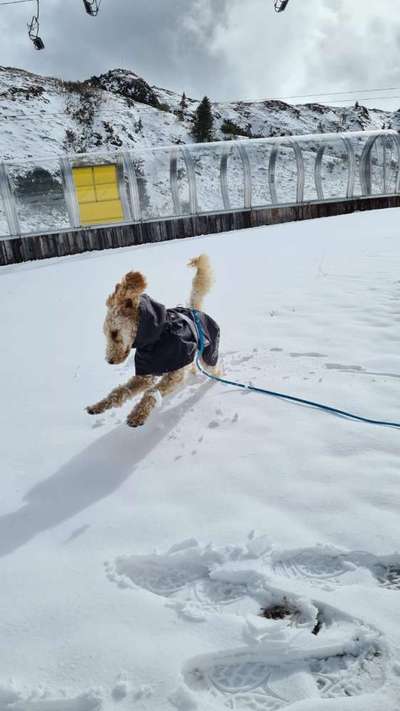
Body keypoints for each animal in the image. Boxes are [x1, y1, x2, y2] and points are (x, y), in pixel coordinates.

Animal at [85, 253, 220, 426]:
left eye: (114, 333)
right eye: (105, 334)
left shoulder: (175, 374)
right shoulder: (144, 375)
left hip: (208, 355)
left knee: (214, 368)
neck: (156, 338)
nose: (109, 361)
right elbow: (120, 391)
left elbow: (152, 391)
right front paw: (99, 406)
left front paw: (138, 415)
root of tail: (193, 309)